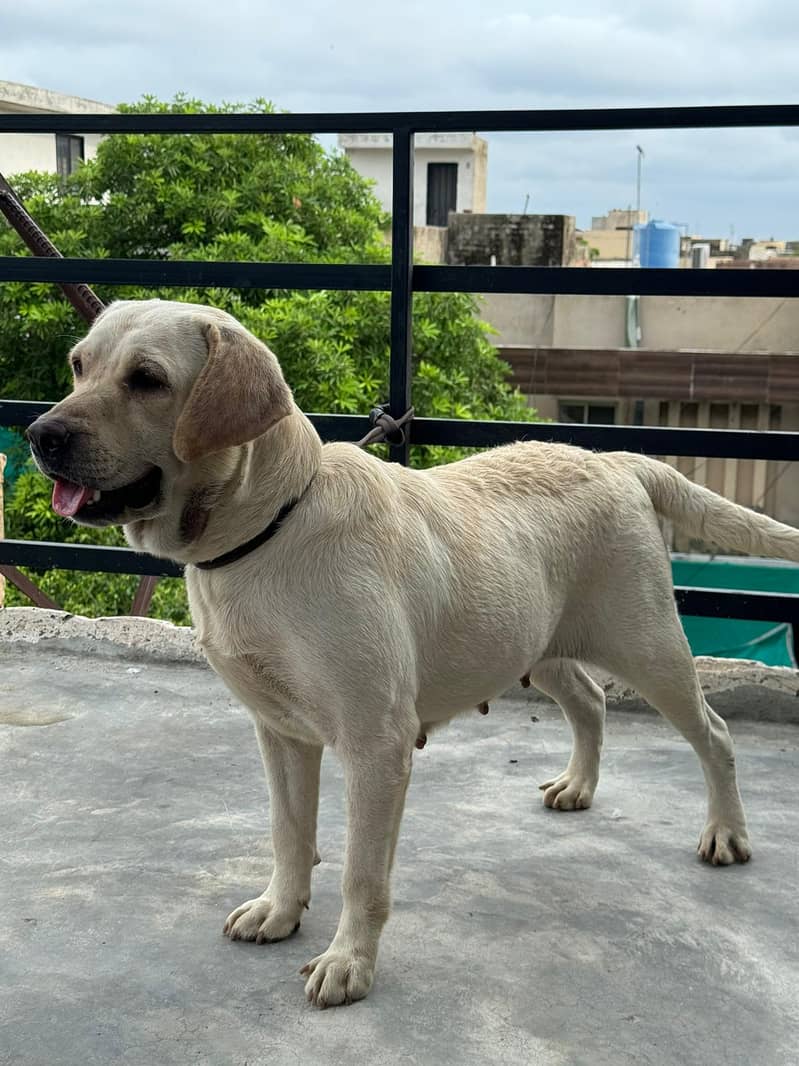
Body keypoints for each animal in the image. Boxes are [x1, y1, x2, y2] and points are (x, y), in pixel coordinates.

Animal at [28, 300, 799, 1006]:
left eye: (148, 380)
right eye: (80, 366)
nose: (41, 434)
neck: (266, 529)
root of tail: (612, 459)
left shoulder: (376, 743)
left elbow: (361, 872)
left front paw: (348, 963)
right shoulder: (279, 731)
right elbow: (287, 832)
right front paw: (279, 910)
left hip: (649, 647)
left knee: (713, 734)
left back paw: (726, 833)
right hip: (537, 641)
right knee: (588, 702)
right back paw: (579, 785)